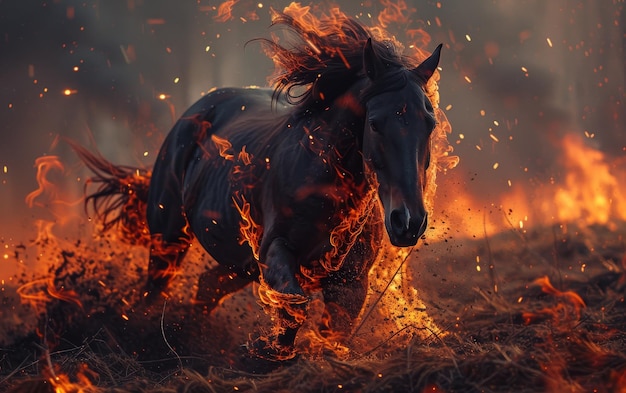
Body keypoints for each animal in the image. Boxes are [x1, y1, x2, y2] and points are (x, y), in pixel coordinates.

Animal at [73, 13, 442, 362]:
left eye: (430, 123)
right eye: (376, 124)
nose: (408, 222)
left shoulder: (350, 283)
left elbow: (331, 331)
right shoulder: (274, 252)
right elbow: (294, 306)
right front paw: (270, 352)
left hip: (237, 262)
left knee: (206, 288)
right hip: (170, 237)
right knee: (155, 291)